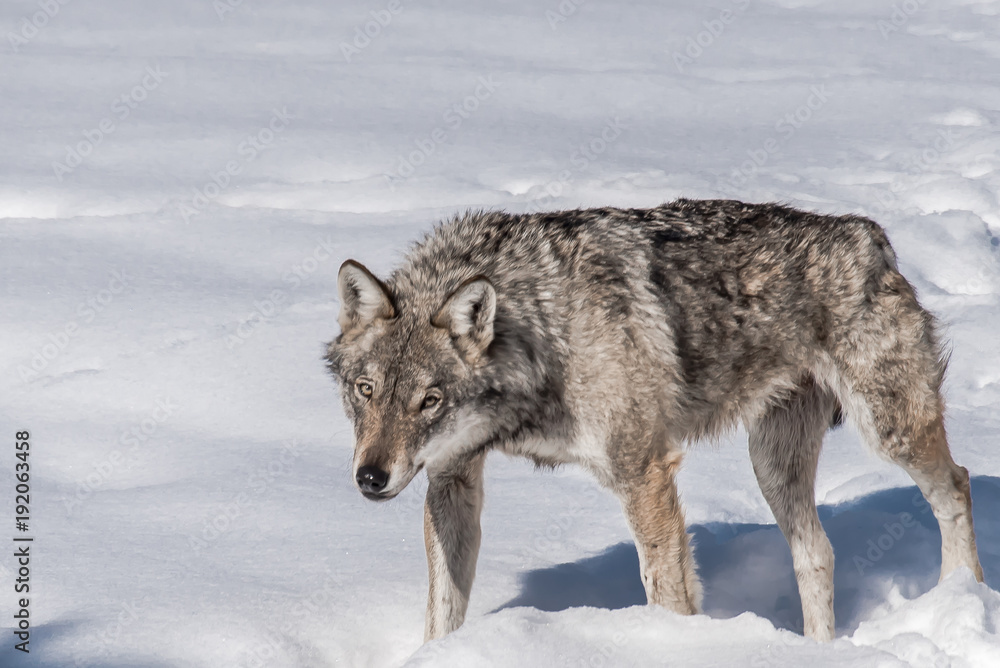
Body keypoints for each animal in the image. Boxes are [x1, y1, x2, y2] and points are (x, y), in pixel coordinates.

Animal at [325, 199, 984, 642]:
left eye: (429, 400)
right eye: (366, 390)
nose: (370, 478)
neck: (541, 330)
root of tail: (869, 235)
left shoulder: (643, 472)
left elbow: (666, 592)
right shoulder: (450, 477)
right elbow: (442, 613)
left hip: (889, 430)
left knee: (957, 484)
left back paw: (963, 594)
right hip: (772, 466)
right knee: (817, 551)